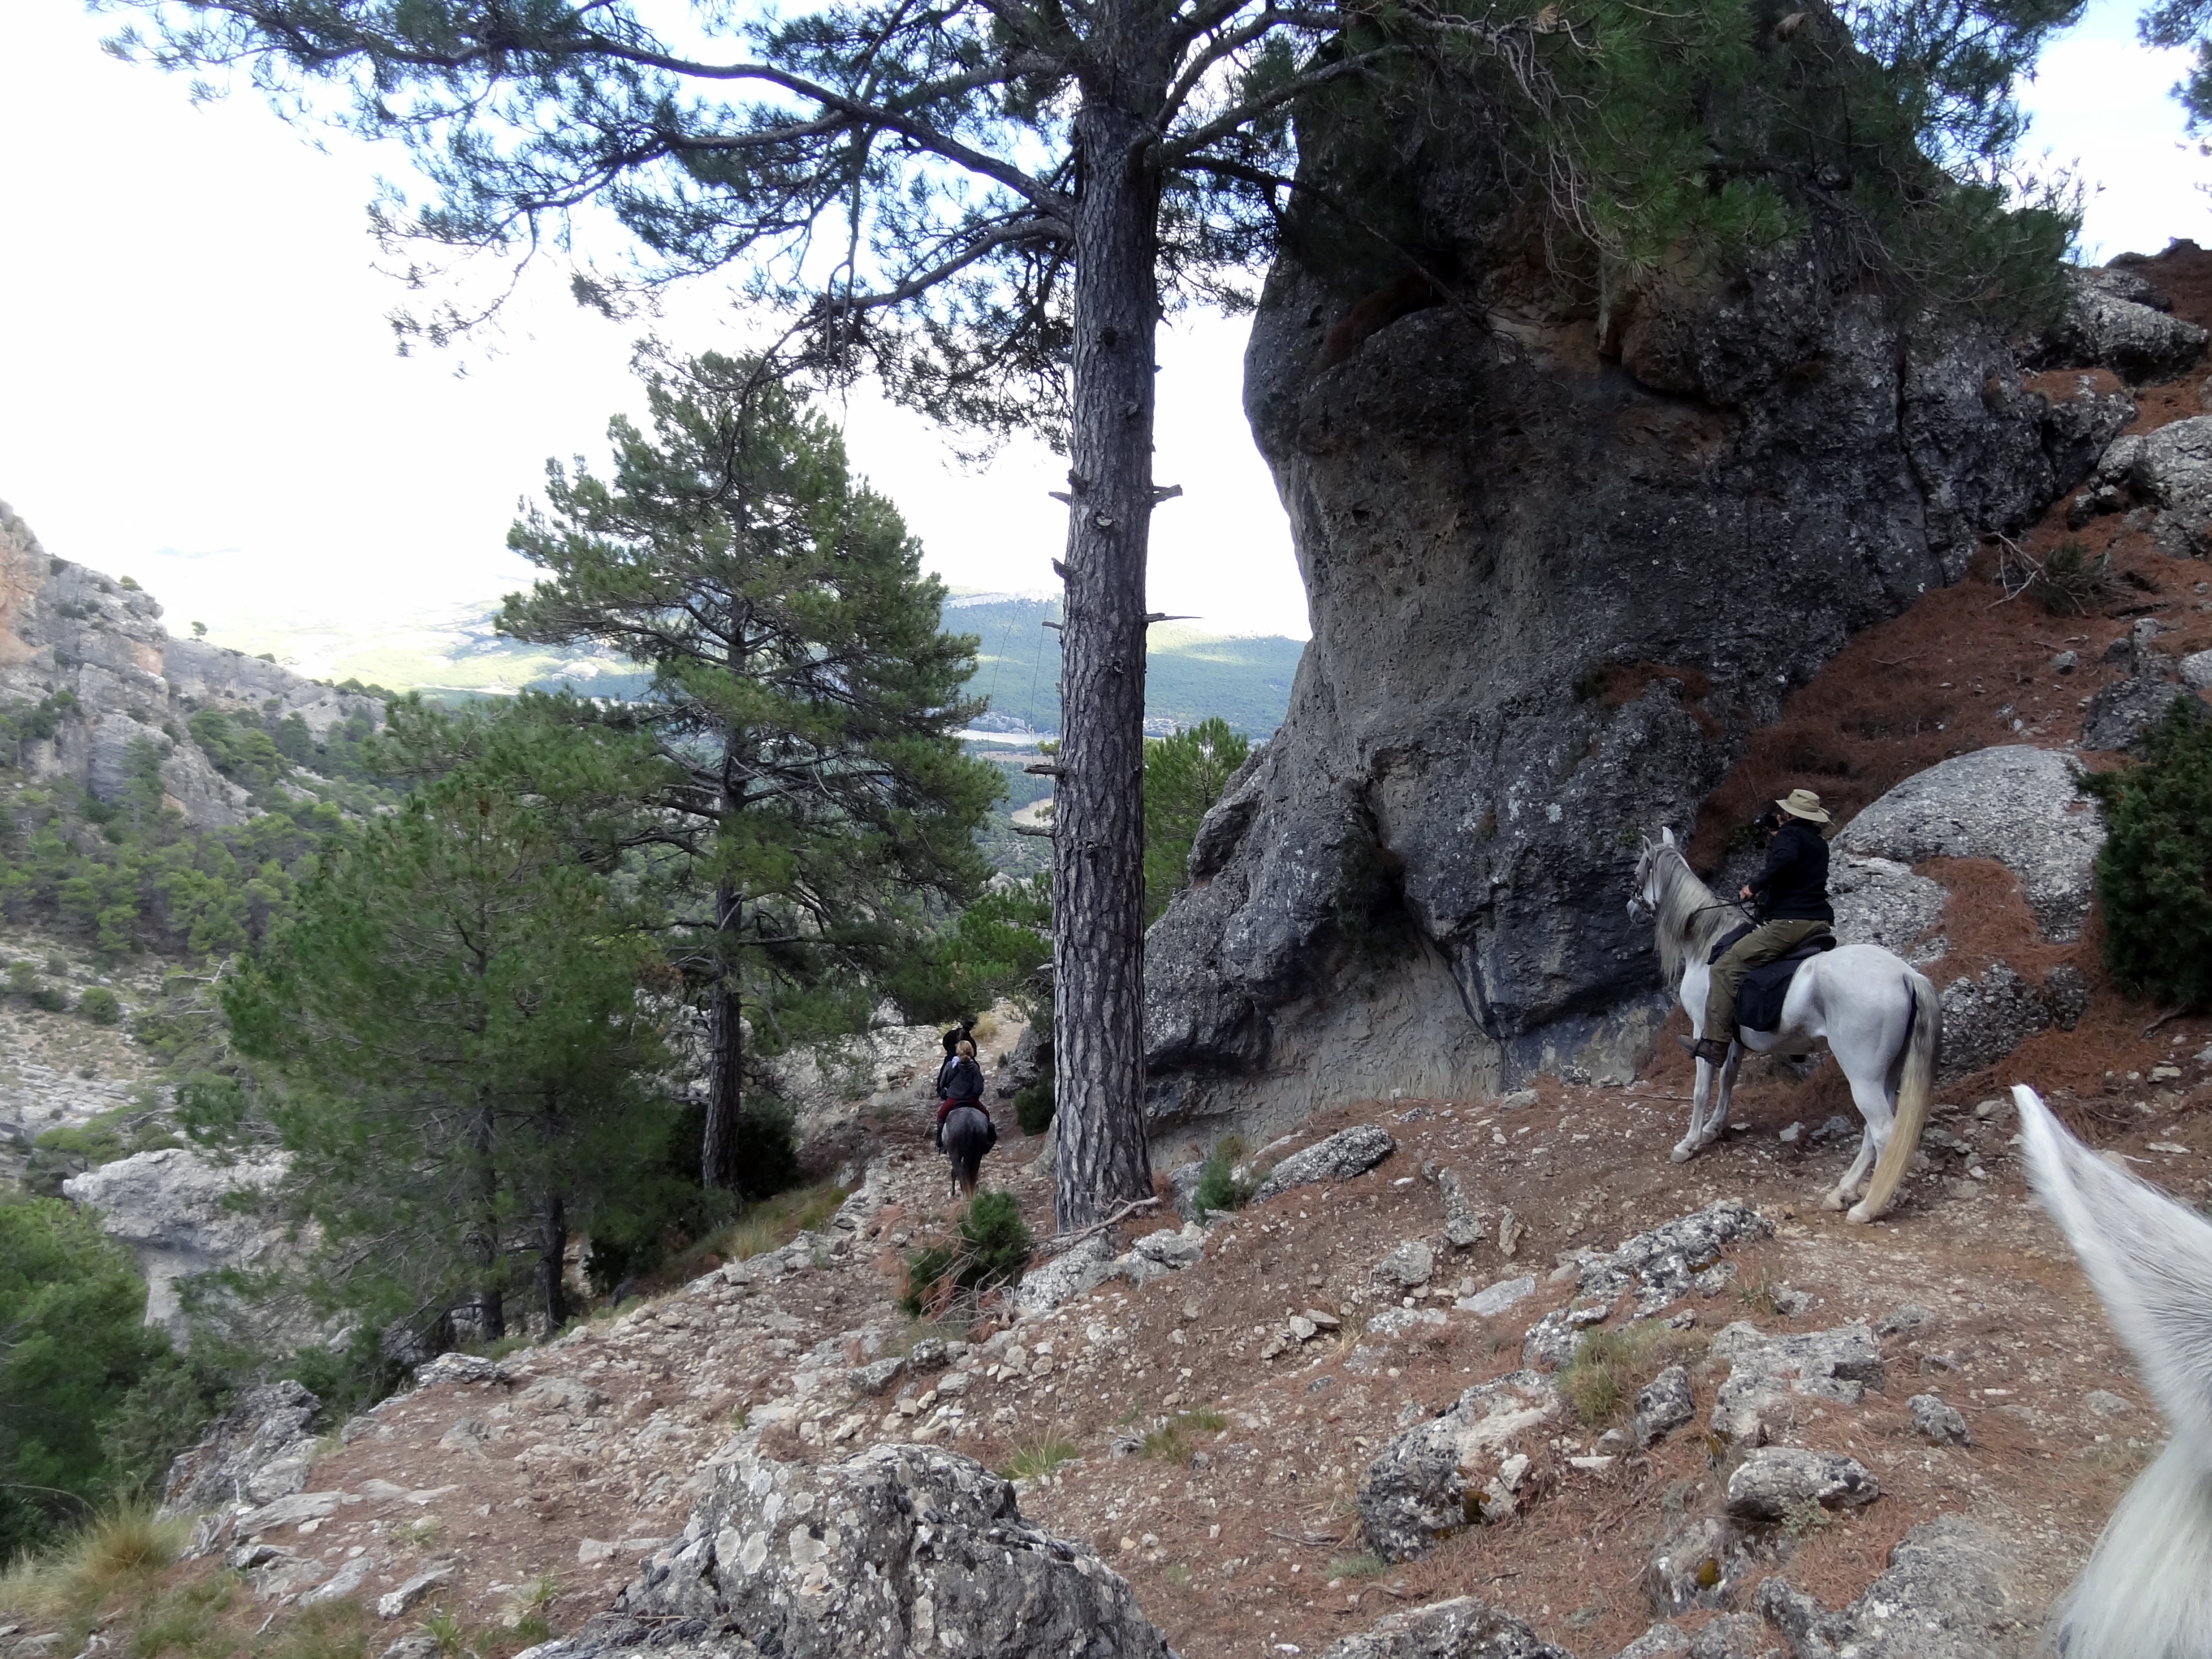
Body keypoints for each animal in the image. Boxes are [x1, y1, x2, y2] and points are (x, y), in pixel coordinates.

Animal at [941, 1104, 995, 1200]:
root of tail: (971, 1124)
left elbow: (954, 1172)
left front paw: (953, 1192)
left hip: (955, 1153)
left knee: (960, 1172)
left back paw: (964, 1193)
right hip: (977, 1154)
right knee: (973, 1171)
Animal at [1628, 828, 1939, 1222]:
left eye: (1640, 871)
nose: (1631, 908)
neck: (1708, 943)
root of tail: (1905, 975)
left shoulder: (1704, 1028)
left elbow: (1701, 1090)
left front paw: (1689, 1142)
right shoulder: (1732, 1039)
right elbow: (1728, 1079)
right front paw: (1714, 1128)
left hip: (1864, 1077)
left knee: (1883, 1133)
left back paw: (1868, 1207)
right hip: (1886, 1075)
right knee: (1876, 1133)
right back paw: (1843, 1192)